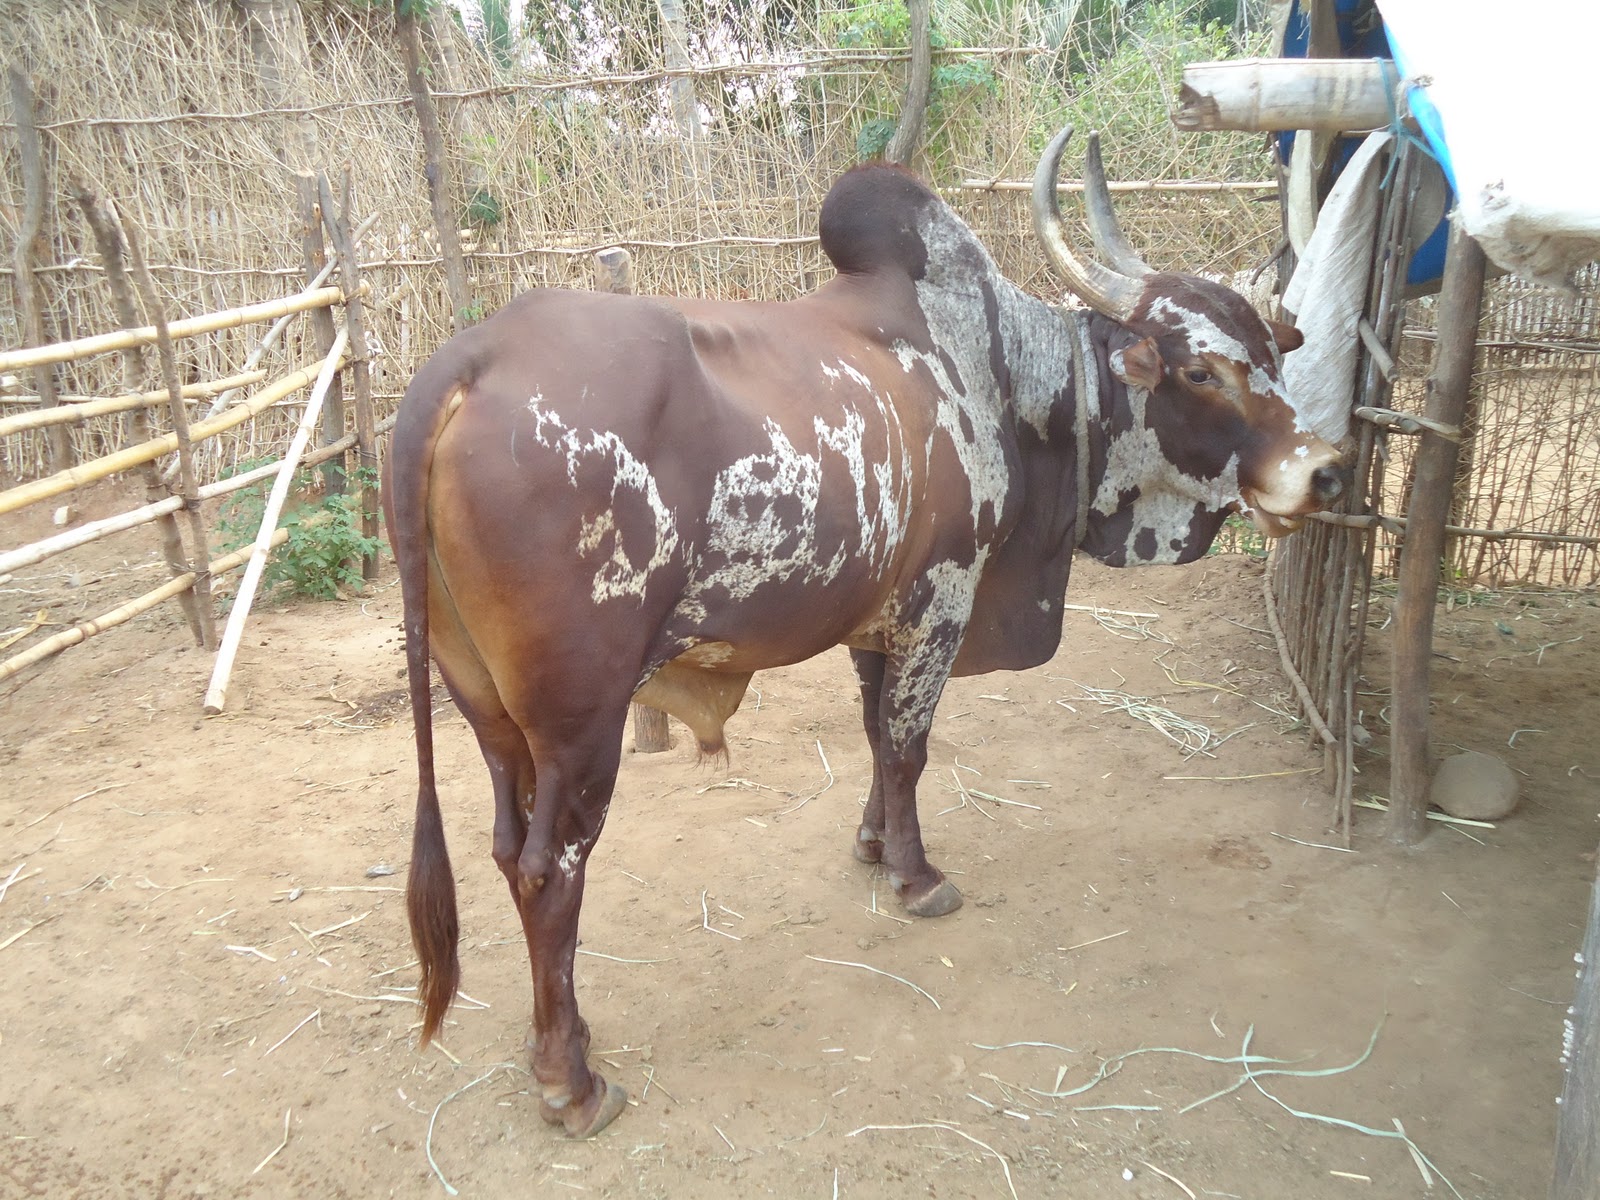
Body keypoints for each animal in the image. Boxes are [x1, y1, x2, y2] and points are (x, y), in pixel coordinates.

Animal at [383, 125, 1345, 1139]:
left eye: (1272, 355)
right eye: (1200, 370)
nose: (1324, 470)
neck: (1006, 379)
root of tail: (466, 363)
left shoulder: (875, 623)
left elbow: (878, 736)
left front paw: (875, 846)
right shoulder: (943, 600)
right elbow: (911, 744)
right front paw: (918, 876)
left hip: (487, 710)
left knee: (503, 846)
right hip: (580, 720)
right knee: (547, 870)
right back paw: (572, 1076)